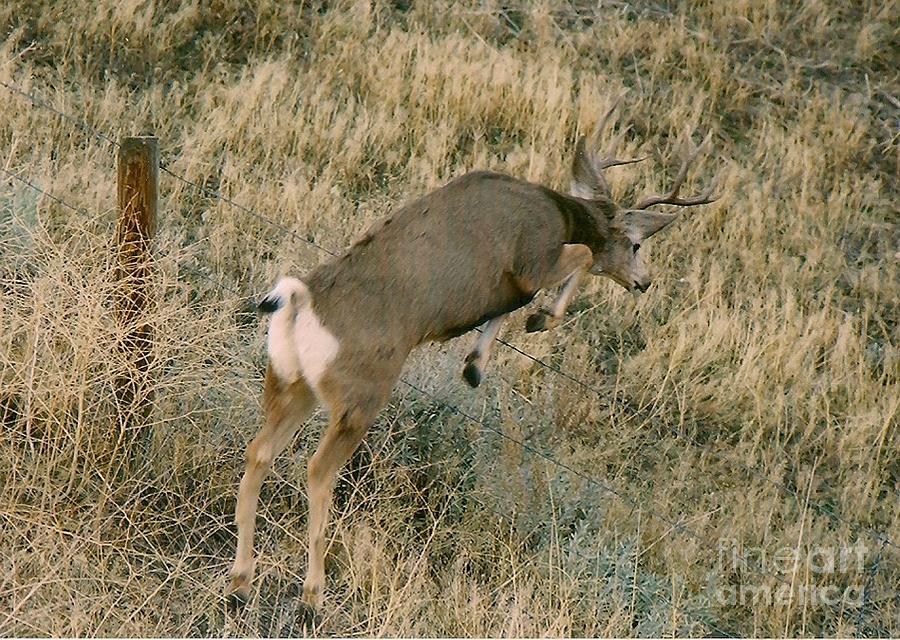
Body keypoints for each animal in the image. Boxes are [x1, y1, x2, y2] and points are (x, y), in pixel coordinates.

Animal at [227, 99, 718, 616]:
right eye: (637, 244)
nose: (645, 281)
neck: (559, 212)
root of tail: (300, 304)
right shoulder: (531, 258)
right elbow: (577, 261)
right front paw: (541, 319)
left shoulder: (505, 286)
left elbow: (504, 307)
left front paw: (475, 365)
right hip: (361, 394)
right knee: (317, 471)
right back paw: (312, 595)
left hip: (289, 382)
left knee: (258, 452)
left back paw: (241, 583)